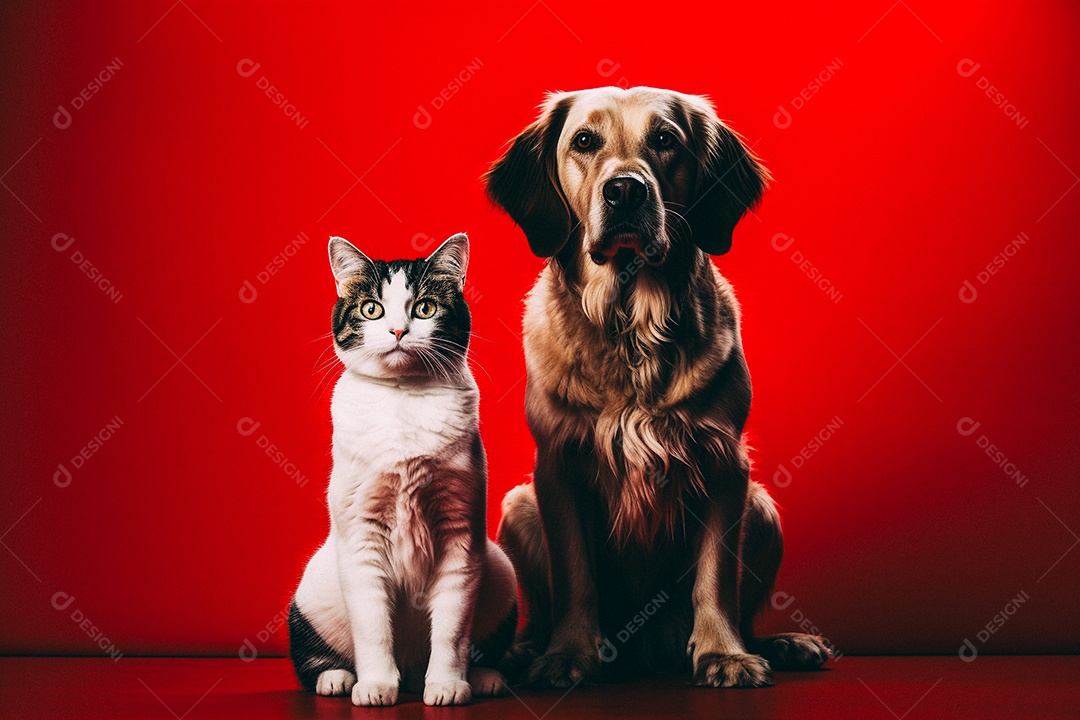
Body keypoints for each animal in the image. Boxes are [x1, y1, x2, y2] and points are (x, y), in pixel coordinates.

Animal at [289, 234, 516, 708]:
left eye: (425, 308)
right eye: (371, 309)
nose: (398, 330)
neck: (403, 397)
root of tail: (410, 669)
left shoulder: (460, 535)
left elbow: (452, 629)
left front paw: (448, 685)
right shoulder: (361, 535)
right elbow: (373, 626)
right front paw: (375, 686)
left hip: (501, 570)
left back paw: (485, 677)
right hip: (313, 587)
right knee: (312, 654)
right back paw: (337, 679)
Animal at [486, 87, 829, 690]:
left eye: (665, 139)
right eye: (584, 141)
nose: (625, 190)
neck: (631, 327)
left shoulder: (725, 464)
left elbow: (715, 577)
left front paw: (724, 654)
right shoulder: (557, 467)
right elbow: (575, 574)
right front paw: (566, 655)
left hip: (763, 509)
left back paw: (783, 644)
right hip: (518, 506)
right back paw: (524, 652)